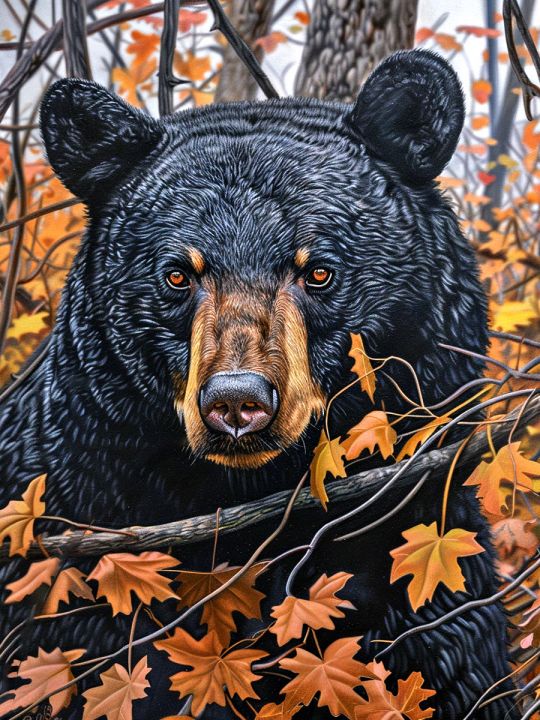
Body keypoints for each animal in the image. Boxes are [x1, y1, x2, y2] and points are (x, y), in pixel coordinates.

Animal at [0, 49, 518, 720]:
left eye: (318, 271)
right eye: (177, 274)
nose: (236, 402)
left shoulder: (423, 566)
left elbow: (454, 664)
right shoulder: (78, 551)